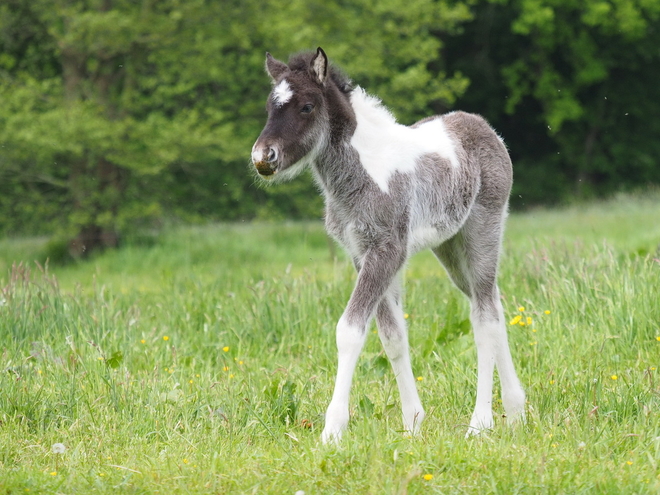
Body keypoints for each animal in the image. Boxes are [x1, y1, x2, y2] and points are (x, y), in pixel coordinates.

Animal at [250, 47, 524, 442]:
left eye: (306, 107)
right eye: (270, 106)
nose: (262, 157)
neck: (362, 173)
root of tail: (486, 129)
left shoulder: (386, 252)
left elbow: (350, 331)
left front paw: (333, 430)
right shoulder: (361, 253)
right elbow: (392, 337)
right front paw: (413, 422)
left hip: (483, 232)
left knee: (484, 318)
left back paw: (480, 422)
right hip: (450, 249)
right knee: (493, 304)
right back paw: (517, 409)